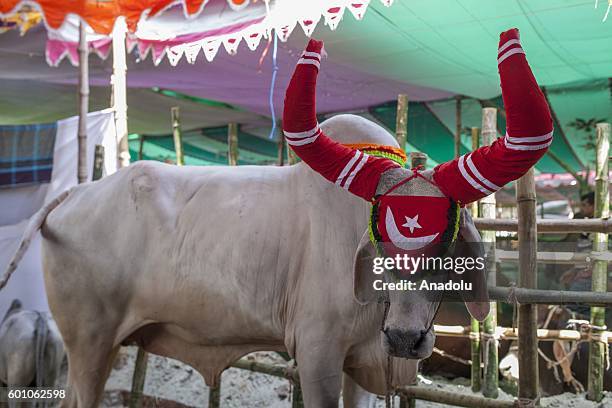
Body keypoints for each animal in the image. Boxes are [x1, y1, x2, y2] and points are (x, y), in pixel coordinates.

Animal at [0, 113, 480, 406]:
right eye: (382, 239)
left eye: (446, 240)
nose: (406, 338)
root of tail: (78, 191)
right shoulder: (318, 351)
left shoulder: (361, 360)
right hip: (89, 341)